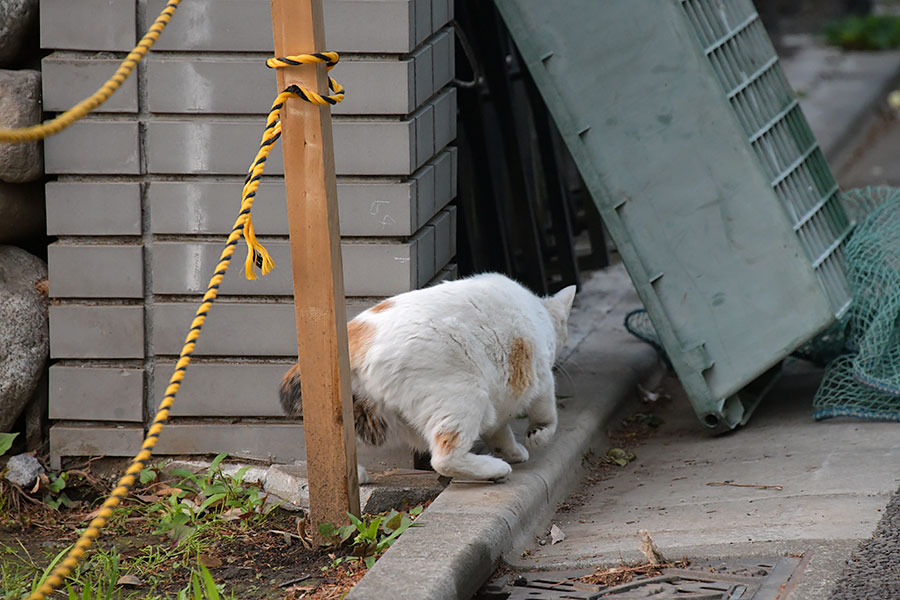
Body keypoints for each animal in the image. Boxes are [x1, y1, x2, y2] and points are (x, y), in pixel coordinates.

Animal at [280, 274, 576, 480]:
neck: (540, 312)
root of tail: (354, 334)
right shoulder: (541, 378)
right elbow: (547, 415)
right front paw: (537, 436)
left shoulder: (500, 405)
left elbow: (499, 432)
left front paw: (513, 451)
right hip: (464, 396)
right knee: (444, 458)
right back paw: (495, 469)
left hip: (366, 415)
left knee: (328, 449)